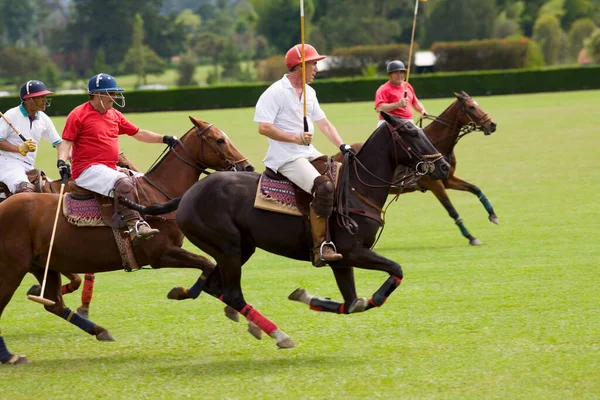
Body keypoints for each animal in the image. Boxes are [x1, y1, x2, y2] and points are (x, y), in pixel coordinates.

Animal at [0, 116, 253, 366]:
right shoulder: (160, 254)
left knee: (55, 303)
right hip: (14, 267)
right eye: (219, 140)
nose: (247, 167)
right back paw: (10, 356)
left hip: (43, 264)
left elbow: (207, 266)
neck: (158, 194)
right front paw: (183, 293)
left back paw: (99, 330)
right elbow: (206, 264)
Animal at [122, 111, 450, 346]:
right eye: (411, 133)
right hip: (228, 247)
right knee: (232, 293)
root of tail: (187, 194)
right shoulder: (350, 251)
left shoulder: (341, 261)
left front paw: (306, 297)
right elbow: (392, 273)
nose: (445, 167)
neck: (357, 188)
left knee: (216, 285)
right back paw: (279, 335)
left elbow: (353, 303)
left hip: (241, 248)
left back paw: (187, 294)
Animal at [336, 92, 500, 245]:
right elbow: (452, 211)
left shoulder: (447, 178)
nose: (492, 124)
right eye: (471, 107)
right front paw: (471, 237)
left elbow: (475, 189)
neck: (438, 143)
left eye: (477, 104)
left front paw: (493, 215)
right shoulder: (435, 184)